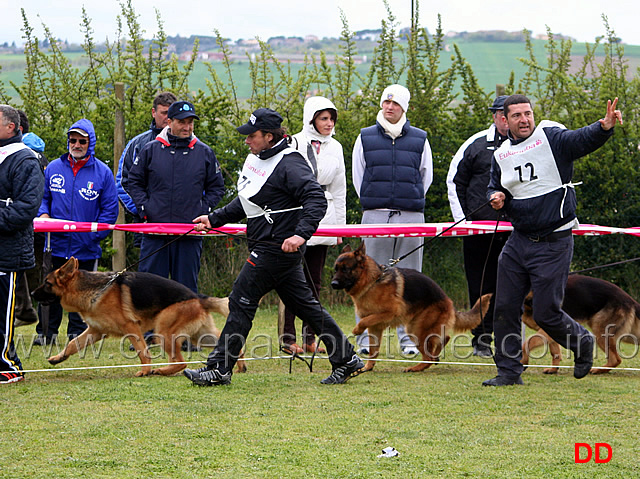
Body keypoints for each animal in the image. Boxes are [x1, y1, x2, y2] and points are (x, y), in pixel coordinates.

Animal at [30, 256, 245, 376]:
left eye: (47, 283)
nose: (31, 293)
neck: (95, 289)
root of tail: (198, 298)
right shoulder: (95, 331)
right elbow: (72, 344)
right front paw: (58, 358)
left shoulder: (131, 328)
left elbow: (143, 352)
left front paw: (145, 371)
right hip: (199, 336)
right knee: (230, 343)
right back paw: (240, 366)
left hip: (163, 332)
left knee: (181, 362)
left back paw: (161, 371)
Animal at [330, 244, 490, 376]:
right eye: (336, 269)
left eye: (346, 269)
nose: (333, 284)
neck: (372, 282)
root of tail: (449, 302)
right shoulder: (375, 327)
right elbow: (373, 350)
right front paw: (368, 367)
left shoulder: (387, 314)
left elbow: (364, 321)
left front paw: (356, 329)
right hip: (417, 328)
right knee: (444, 339)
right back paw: (433, 357)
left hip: (416, 330)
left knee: (429, 356)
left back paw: (415, 368)